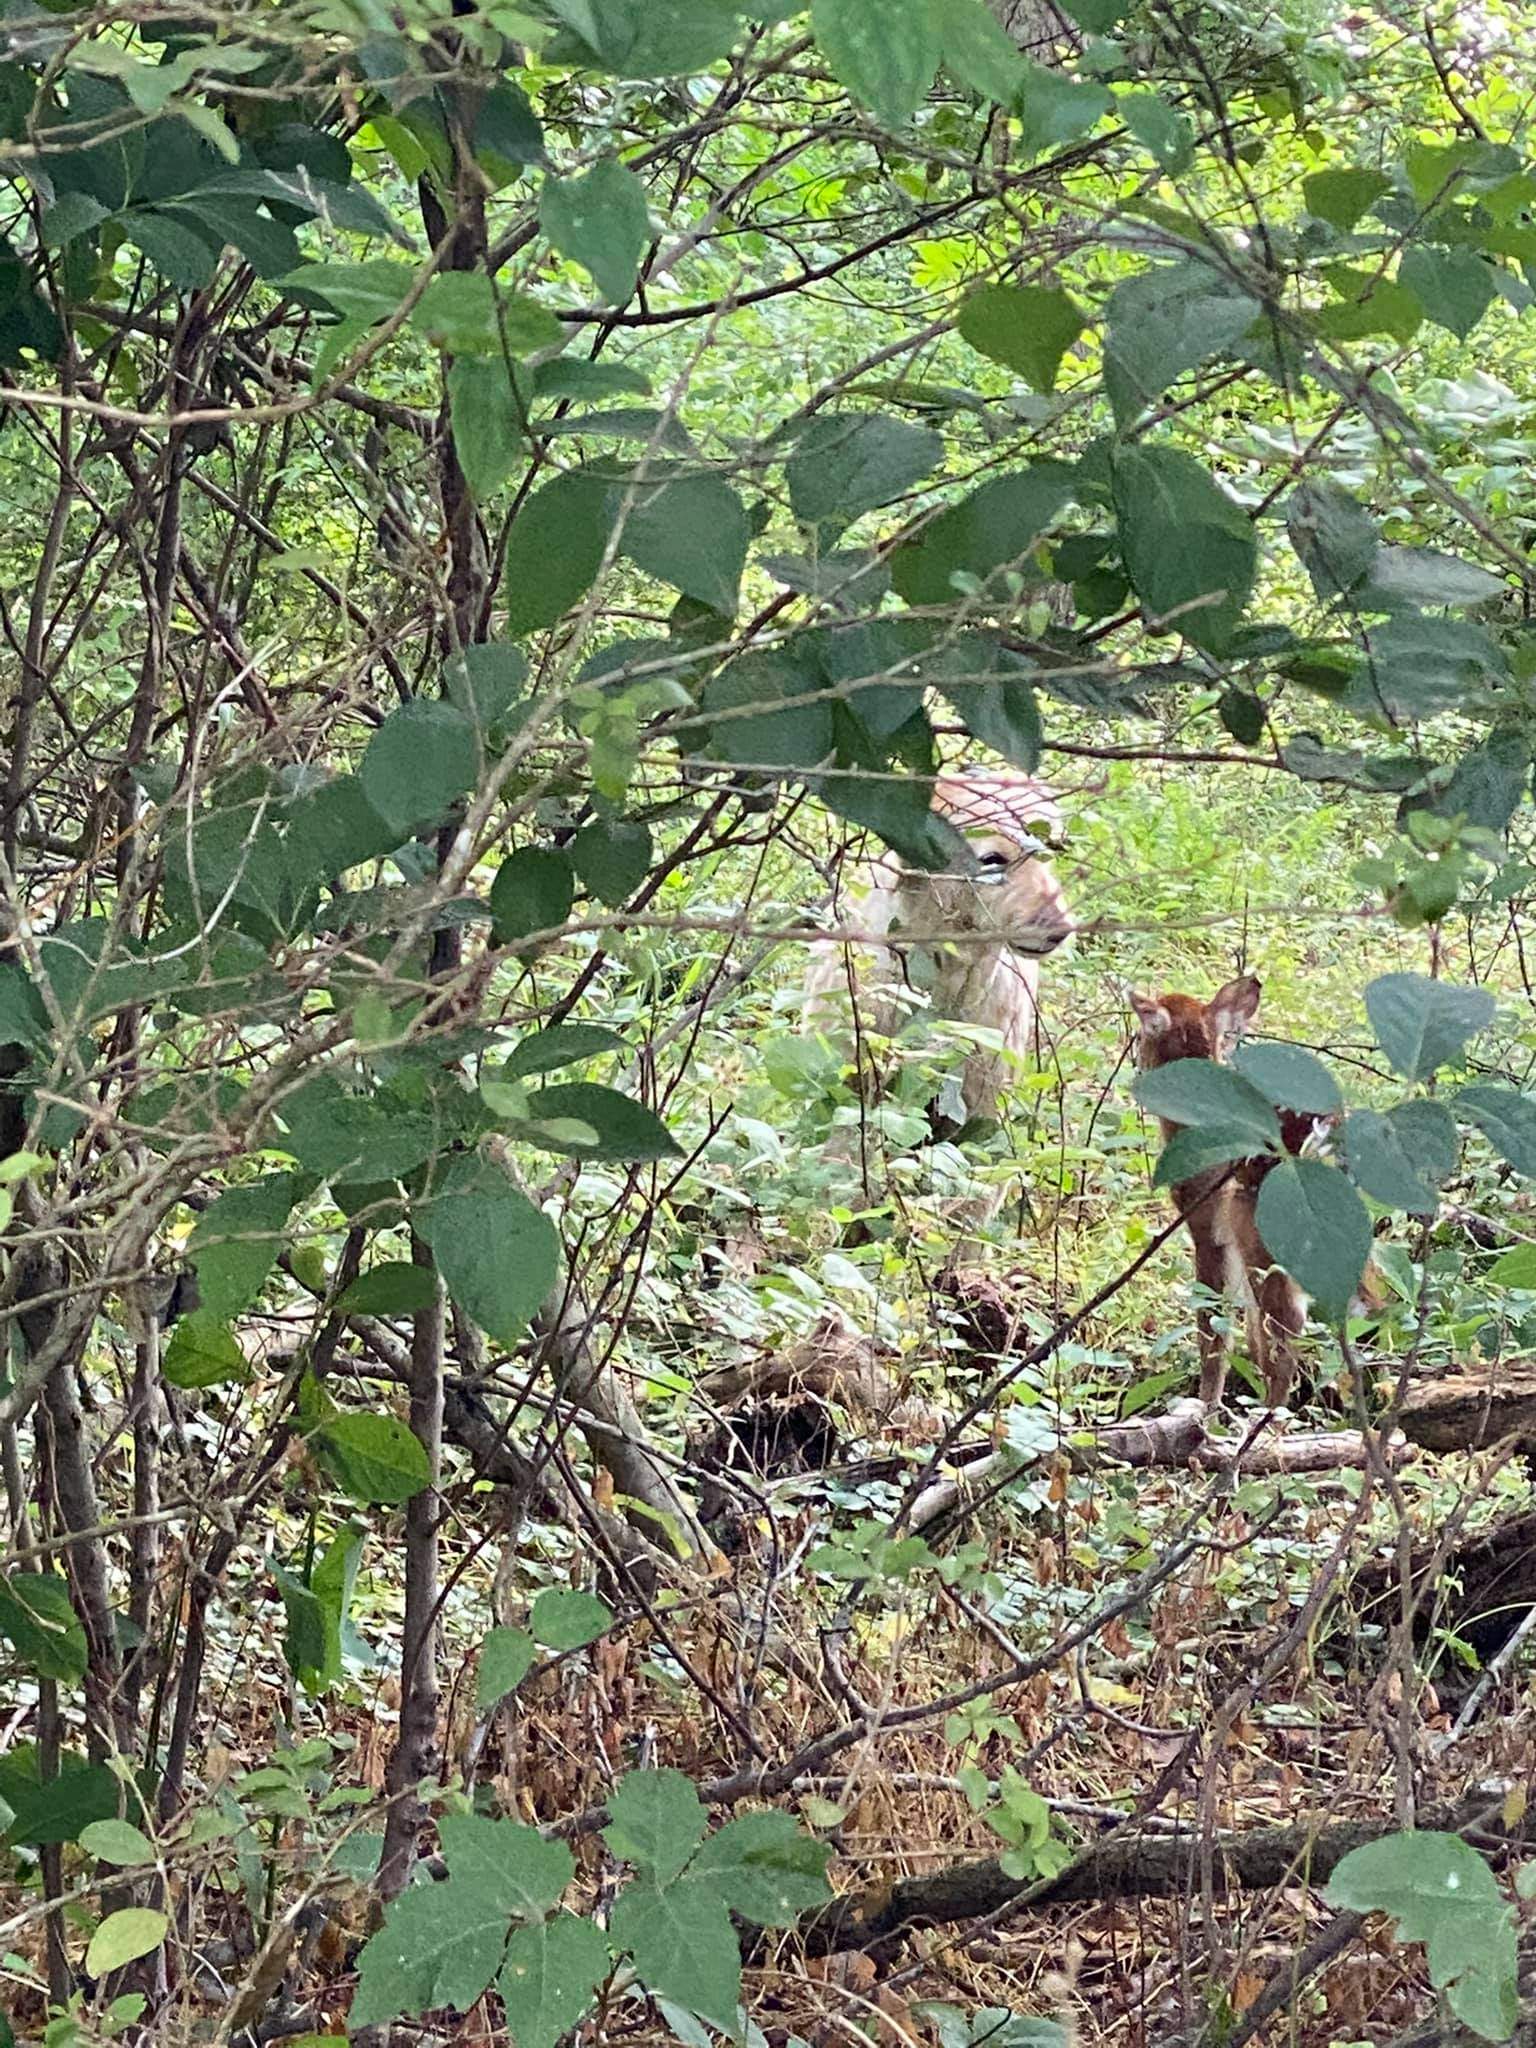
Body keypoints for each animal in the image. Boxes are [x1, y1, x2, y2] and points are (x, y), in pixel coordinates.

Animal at [1130, 974, 1327, 1409]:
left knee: (1285, 1324)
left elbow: (1213, 1328)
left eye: (1142, 1034)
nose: (1137, 1063)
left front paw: (1206, 1408)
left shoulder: (1207, 1226)